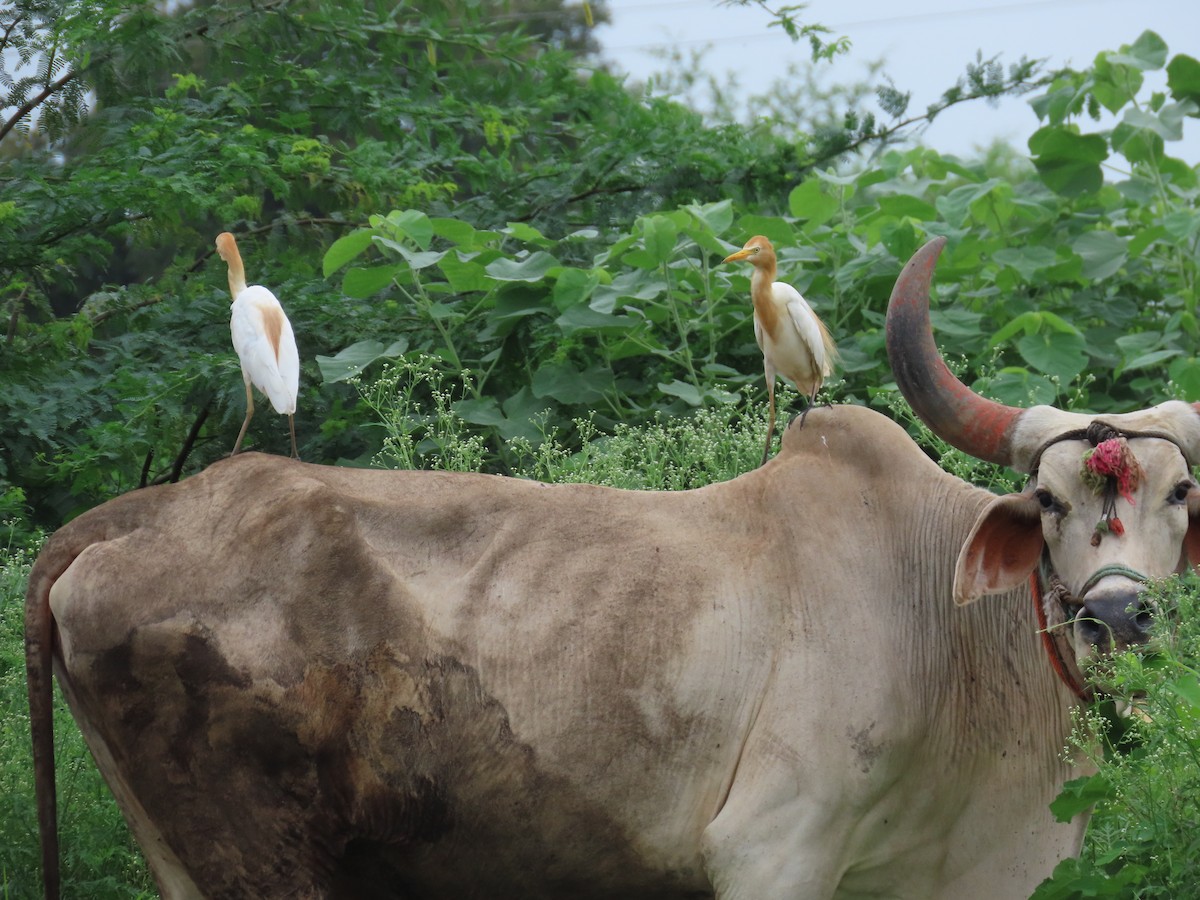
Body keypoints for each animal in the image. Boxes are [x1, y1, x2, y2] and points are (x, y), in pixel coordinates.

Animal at [23, 236, 1200, 897]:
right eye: (1050, 502)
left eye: (1183, 496)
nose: (1116, 623)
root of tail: (128, 518)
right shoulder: (772, 855)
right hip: (260, 861)